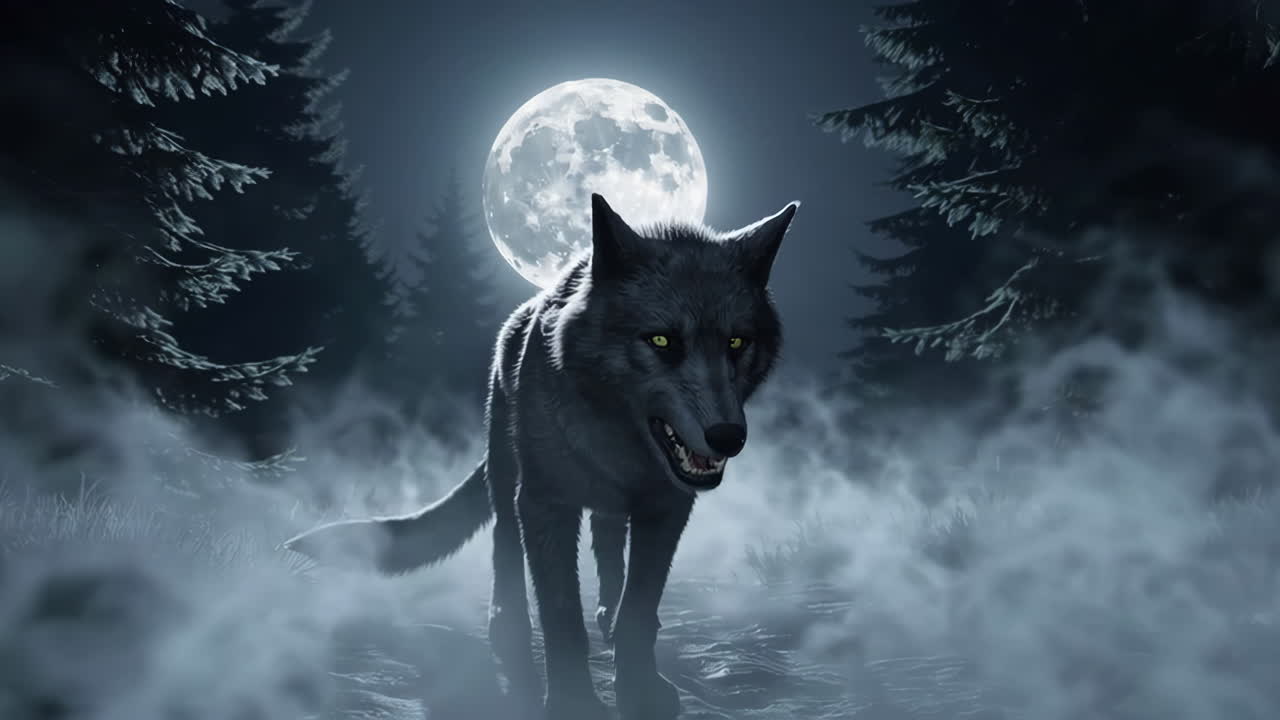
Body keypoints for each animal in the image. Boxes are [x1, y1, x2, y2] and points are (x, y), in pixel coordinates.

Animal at [284, 193, 798, 720]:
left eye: (737, 341)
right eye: (662, 340)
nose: (728, 437)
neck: (619, 443)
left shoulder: (666, 508)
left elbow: (639, 606)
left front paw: (639, 688)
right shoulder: (546, 504)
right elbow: (561, 615)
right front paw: (574, 700)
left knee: (608, 549)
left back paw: (606, 612)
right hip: (508, 478)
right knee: (505, 547)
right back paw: (508, 630)